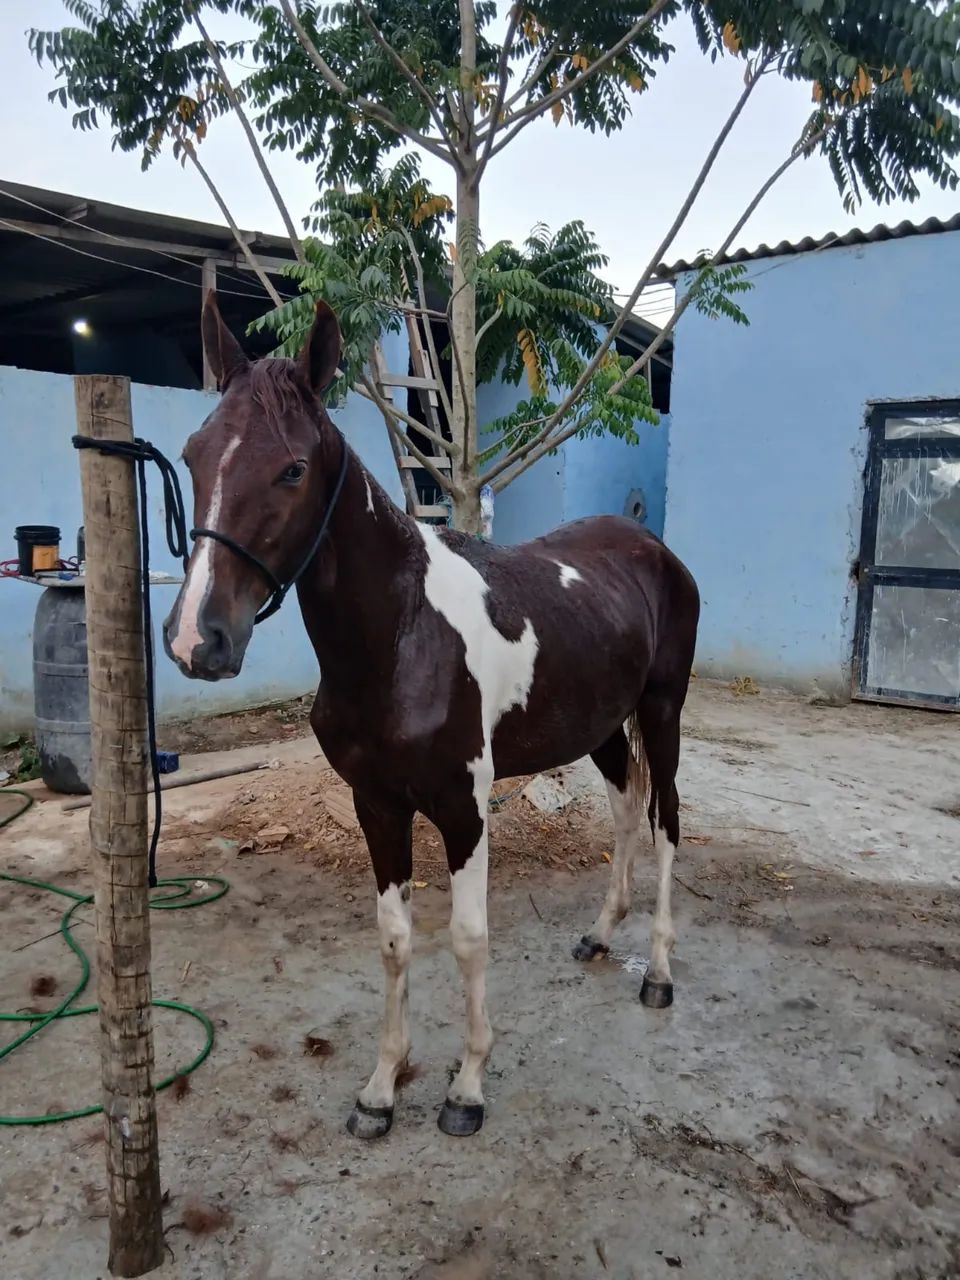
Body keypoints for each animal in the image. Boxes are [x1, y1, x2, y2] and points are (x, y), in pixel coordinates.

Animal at [163, 293, 700, 1140]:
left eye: (293, 468)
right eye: (193, 456)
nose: (197, 639)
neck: (402, 636)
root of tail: (652, 547)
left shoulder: (463, 807)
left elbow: (469, 938)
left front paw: (467, 1087)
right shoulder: (376, 804)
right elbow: (395, 941)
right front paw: (381, 1090)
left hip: (663, 711)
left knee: (667, 823)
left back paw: (660, 974)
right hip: (602, 729)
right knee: (626, 810)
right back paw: (599, 935)